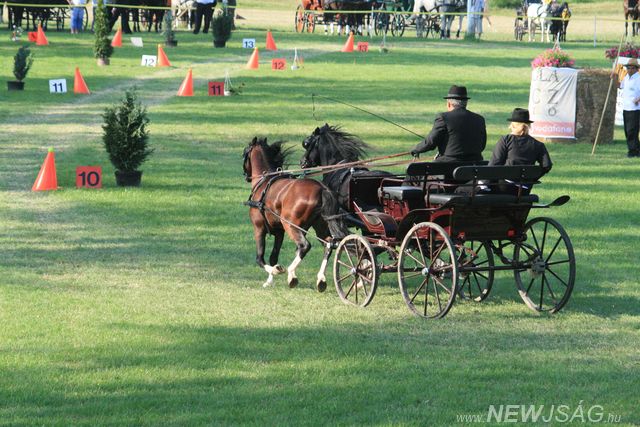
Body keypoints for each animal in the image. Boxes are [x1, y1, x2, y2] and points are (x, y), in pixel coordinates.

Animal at [243, 137, 347, 290]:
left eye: (244, 153)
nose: (246, 176)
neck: (264, 182)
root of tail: (321, 188)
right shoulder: (279, 231)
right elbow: (273, 257)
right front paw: (270, 280)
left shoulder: (259, 228)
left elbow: (260, 258)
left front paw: (275, 270)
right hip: (319, 226)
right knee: (329, 244)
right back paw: (321, 279)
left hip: (291, 225)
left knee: (304, 246)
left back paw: (292, 274)